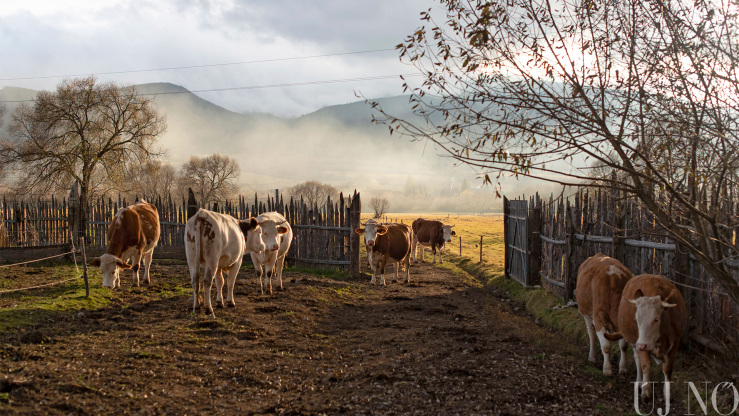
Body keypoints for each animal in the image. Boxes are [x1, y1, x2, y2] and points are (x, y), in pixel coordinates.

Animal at [606, 274, 686, 403]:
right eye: (636, 319)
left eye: (656, 319)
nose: (642, 345)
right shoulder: (641, 343)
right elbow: (645, 365)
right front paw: (646, 392)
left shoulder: (675, 342)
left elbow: (668, 368)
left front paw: (668, 394)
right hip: (634, 340)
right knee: (637, 359)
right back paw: (639, 382)